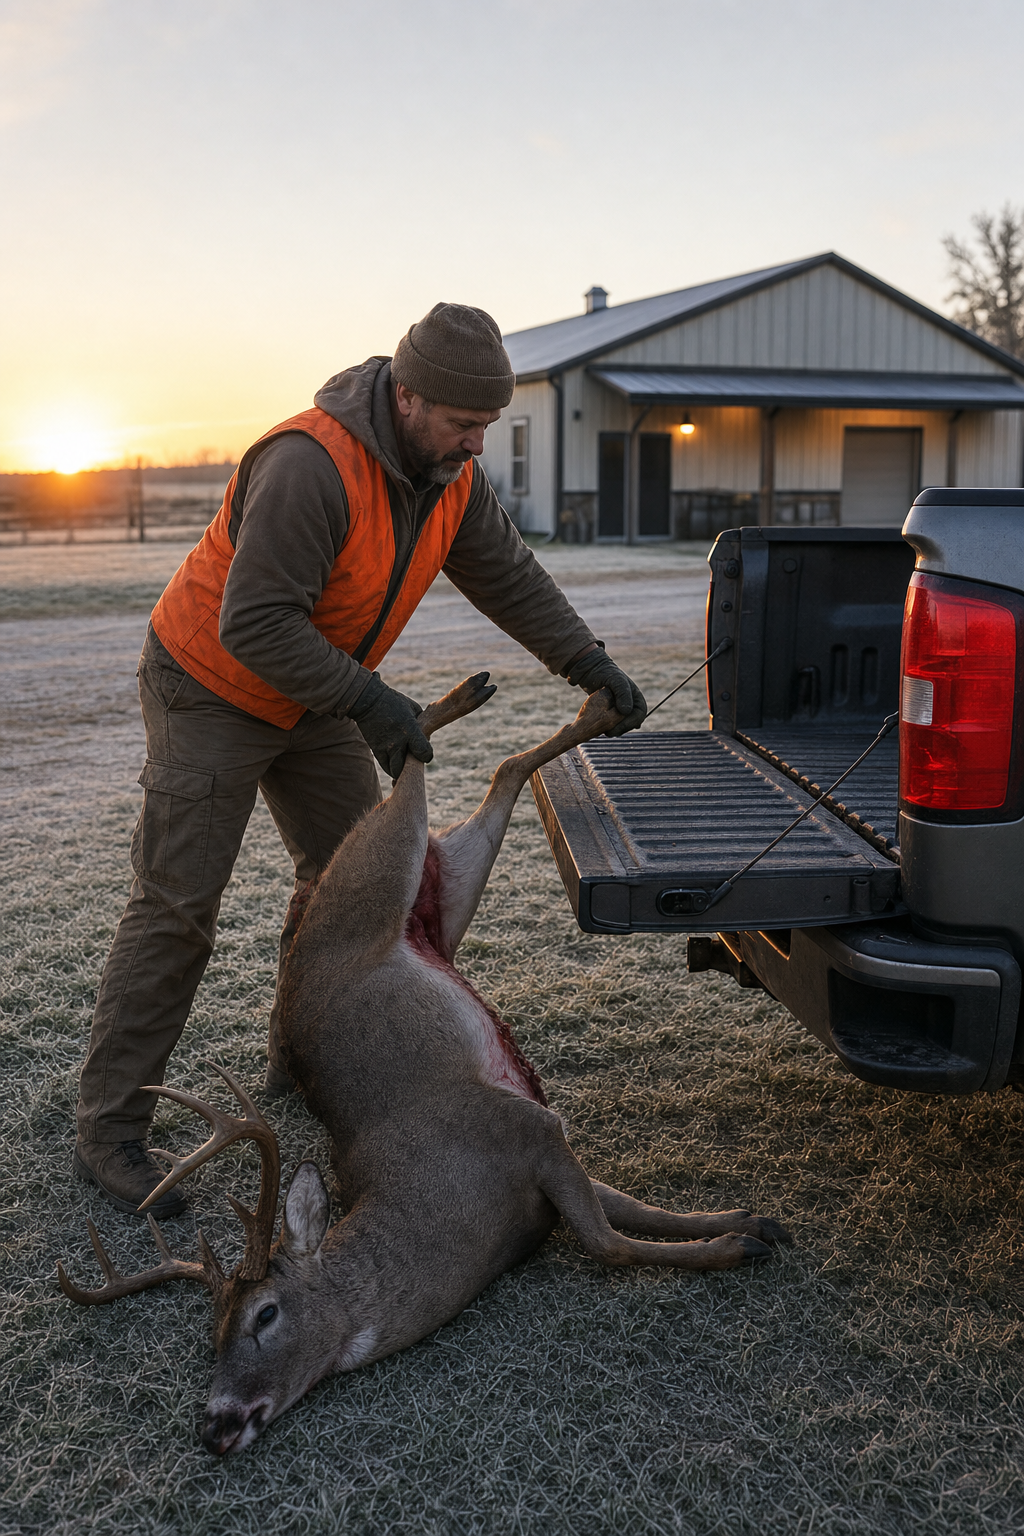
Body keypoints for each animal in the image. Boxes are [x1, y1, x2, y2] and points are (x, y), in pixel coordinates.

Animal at [59, 675, 791, 1455]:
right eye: (212, 1336)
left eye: (265, 1313)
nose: (215, 1425)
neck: (457, 1215)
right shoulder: (541, 1152)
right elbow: (627, 1212)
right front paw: (748, 1222)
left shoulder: (528, 1127)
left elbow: (610, 1240)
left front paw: (738, 1244)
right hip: (448, 883)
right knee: (494, 771)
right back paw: (506, 700)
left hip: (388, 858)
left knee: (425, 772)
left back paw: (505, 704)